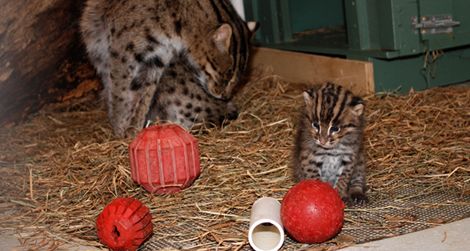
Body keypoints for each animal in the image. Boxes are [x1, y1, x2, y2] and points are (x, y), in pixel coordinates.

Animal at [81, 0, 258, 137]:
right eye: (227, 74)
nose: (225, 97)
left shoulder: (157, 57)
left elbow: (144, 95)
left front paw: (133, 130)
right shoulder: (124, 50)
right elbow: (121, 91)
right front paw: (121, 129)